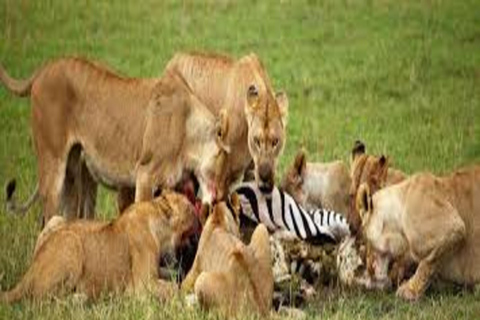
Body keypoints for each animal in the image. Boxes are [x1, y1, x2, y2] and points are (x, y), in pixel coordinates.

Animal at [0, 57, 232, 222]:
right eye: (224, 165)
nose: (221, 196)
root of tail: (44, 68)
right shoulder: (145, 175)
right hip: (52, 164)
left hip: (73, 173)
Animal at [0, 190, 198, 302]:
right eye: (189, 207)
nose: (197, 211)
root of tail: (29, 272)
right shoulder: (140, 286)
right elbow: (172, 288)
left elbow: (172, 276)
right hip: (71, 242)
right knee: (41, 300)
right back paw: (82, 298)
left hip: (57, 219)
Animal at [165, 51, 288, 199]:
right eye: (256, 141)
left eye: (276, 141)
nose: (265, 178)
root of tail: (172, 61)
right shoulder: (219, 180)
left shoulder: (250, 173)